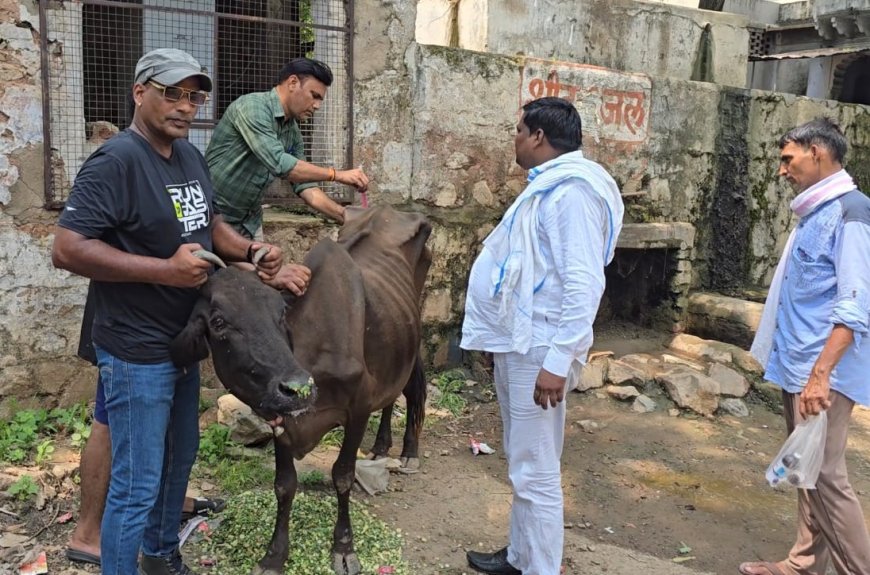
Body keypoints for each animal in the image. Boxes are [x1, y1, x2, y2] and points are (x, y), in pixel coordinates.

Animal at [170, 207, 432, 575]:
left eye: (280, 313)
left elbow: (342, 475)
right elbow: (284, 485)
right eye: (218, 322)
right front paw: (274, 555)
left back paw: (409, 450)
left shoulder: (358, 406)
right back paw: (381, 445)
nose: (297, 388)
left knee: (410, 390)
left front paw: (343, 547)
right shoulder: (281, 416)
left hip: (412, 336)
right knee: (391, 394)